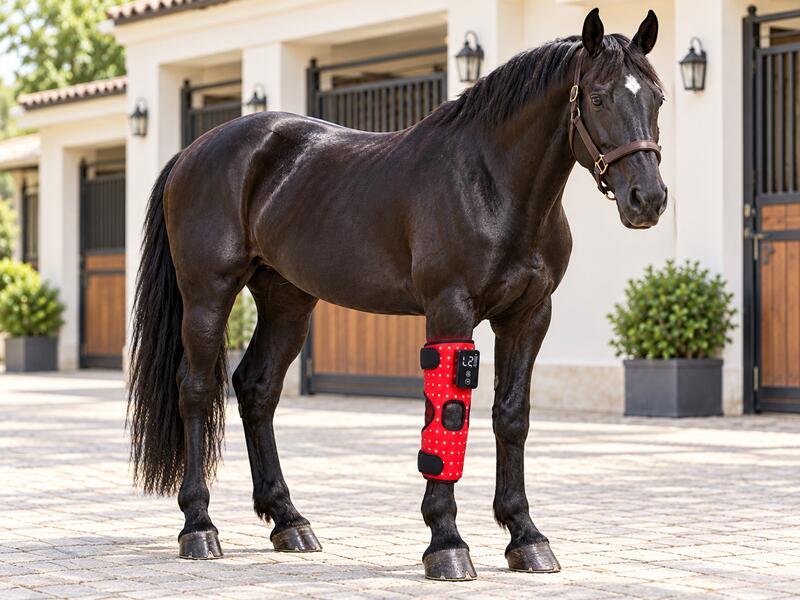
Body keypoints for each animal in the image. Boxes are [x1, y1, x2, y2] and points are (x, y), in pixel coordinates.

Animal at [127, 8, 666, 581]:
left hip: (287, 301)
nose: (648, 200)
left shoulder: (528, 316)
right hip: (207, 295)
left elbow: (511, 416)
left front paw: (526, 536)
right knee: (196, 389)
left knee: (256, 388)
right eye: (600, 97)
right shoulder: (450, 310)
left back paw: (290, 521)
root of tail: (192, 151)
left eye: (657, 97)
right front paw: (446, 544)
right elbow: (449, 416)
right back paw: (199, 528)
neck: (492, 184)